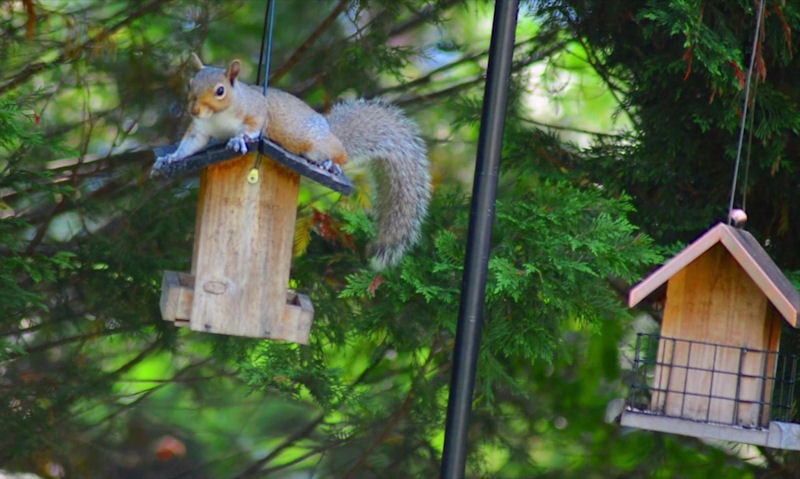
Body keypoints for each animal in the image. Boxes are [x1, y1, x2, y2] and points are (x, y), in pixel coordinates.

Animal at [156, 54, 432, 272]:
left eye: (220, 90)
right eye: (190, 84)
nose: (193, 110)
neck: (218, 117)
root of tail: (331, 132)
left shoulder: (257, 114)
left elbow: (251, 129)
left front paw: (238, 140)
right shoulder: (199, 131)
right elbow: (189, 146)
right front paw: (170, 158)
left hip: (317, 146)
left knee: (340, 155)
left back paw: (331, 165)